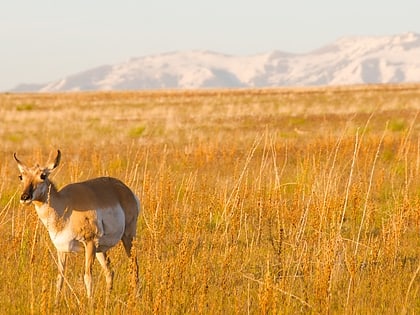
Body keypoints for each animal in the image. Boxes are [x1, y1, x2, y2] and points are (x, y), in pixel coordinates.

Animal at [13, 151, 140, 298]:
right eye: (21, 176)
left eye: (43, 175)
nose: (24, 197)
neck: (66, 206)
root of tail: (125, 189)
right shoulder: (61, 249)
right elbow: (60, 279)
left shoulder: (89, 242)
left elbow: (88, 277)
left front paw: (89, 302)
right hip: (100, 250)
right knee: (109, 271)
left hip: (127, 237)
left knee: (134, 267)